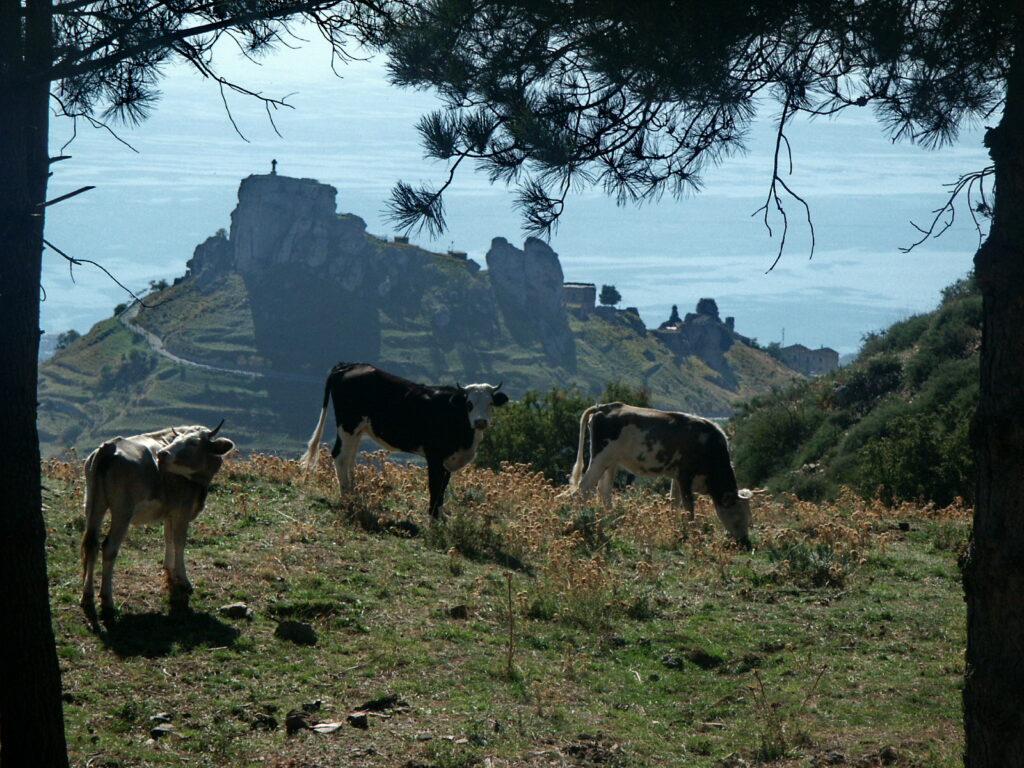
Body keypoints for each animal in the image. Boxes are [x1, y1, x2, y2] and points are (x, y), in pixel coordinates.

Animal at [78, 421, 234, 626]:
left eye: (192, 443)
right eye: (177, 439)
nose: (162, 454)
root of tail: (109, 447)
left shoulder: (169, 511)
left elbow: (168, 538)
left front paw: (168, 567)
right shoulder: (183, 510)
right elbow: (179, 542)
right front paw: (183, 579)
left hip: (93, 504)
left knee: (91, 546)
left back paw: (87, 596)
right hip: (122, 510)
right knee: (109, 548)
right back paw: (107, 599)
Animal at [299, 360, 509, 518]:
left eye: (490, 403)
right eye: (469, 404)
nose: (480, 422)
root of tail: (347, 365)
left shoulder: (448, 460)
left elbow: (443, 486)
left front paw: (442, 518)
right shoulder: (434, 456)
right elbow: (435, 486)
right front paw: (433, 520)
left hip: (358, 429)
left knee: (349, 458)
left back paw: (354, 494)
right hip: (348, 424)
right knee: (340, 456)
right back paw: (347, 498)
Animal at [565, 403, 757, 548]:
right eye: (738, 515)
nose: (745, 542)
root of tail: (604, 407)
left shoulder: (676, 477)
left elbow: (674, 503)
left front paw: (675, 529)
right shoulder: (685, 476)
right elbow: (689, 508)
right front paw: (693, 534)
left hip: (611, 462)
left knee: (604, 490)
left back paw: (614, 522)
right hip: (600, 457)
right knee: (583, 489)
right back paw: (579, 520)